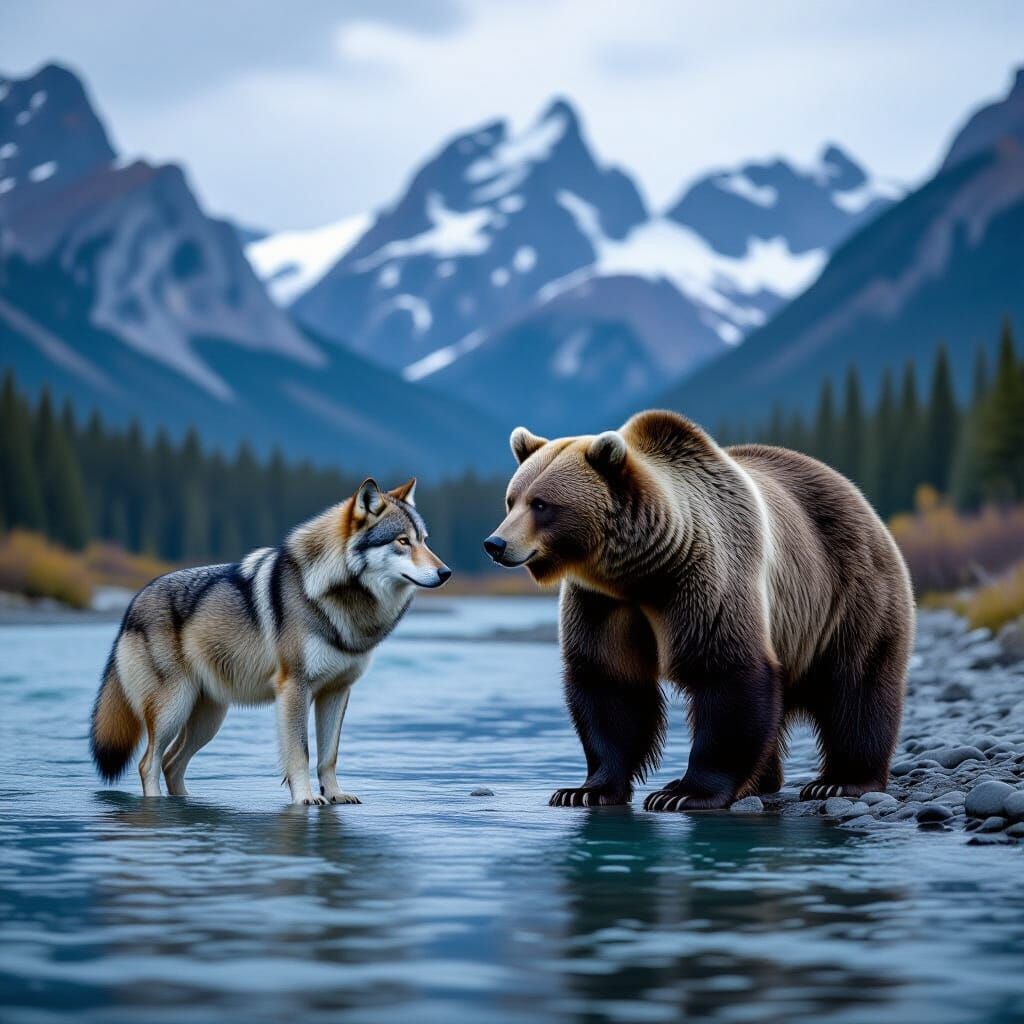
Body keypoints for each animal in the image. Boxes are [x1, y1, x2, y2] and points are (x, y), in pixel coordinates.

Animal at [90, 477, 450, 804]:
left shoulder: (337, 691)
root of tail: (133, 603)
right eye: (402, 541)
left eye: (425, 541)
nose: (446, 572)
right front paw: (306, 798)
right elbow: (301, 752)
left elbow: (329, 755)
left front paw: (335, 794)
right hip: (173, 709)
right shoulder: (294, 688)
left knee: (170, 763)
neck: (337, 597)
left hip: (208, 719)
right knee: (147, 763)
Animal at [483, 409, 914, 811]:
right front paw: (584, 790)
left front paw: (683, 793)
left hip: (848, 594)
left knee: (857, 685)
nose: (495, 543)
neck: (642, 574)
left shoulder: (705, 580)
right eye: (511, 499)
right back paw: (763, 782)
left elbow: (725, 673)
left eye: (541, 504)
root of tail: (855, 494)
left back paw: (841, 781)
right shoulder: (603, 603)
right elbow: (608, 683)